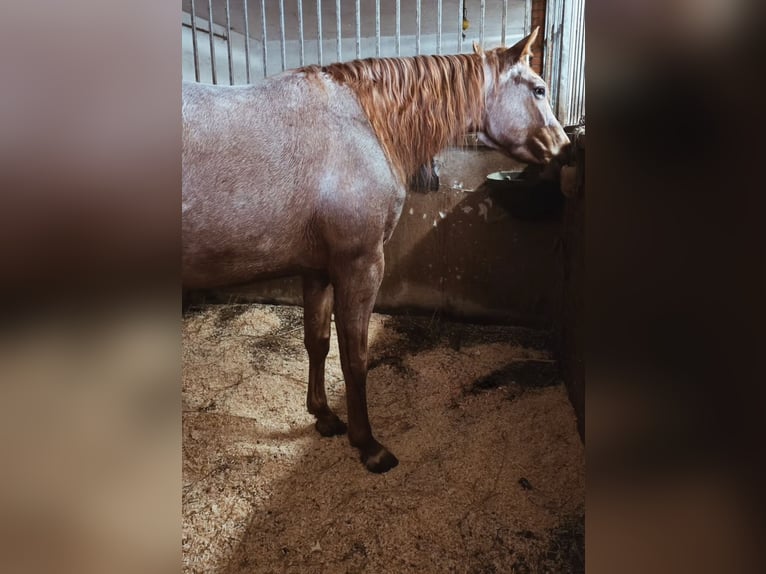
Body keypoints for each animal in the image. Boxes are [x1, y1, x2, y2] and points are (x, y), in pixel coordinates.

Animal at [182, 27, 569, 473]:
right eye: (539, 89)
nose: (564, 149)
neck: (361, 126)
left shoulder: (316, 270)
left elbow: (318, 341)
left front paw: (324, 416)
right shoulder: (361, 265)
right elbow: (355, 357)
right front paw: (368, 445)